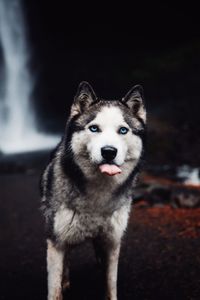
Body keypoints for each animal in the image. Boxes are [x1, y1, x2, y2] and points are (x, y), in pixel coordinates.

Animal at [40, 82, 146, 300]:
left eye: (123, 130)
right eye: (94, 128)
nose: (109, 151)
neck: (98, 199)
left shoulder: (112, 243)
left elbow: (111, 284)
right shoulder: (56, 241)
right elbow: (54, 288)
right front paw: (61, 283)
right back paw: (66, 280)